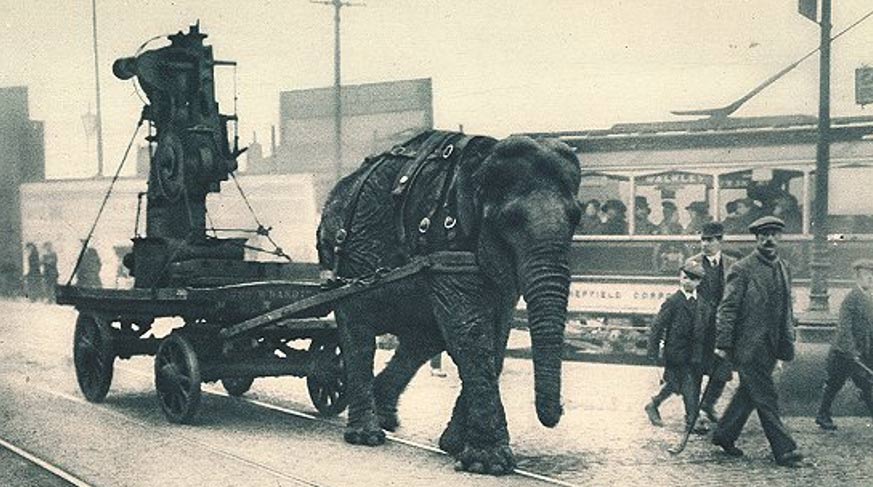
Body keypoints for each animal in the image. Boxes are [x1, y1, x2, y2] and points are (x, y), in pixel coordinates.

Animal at [316, 131, 580, 476]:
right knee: (358, 333)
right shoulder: (447, 243)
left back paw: (386, 417)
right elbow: (470, 332)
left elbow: (496, 336)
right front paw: (489, 463)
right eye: (510, 219)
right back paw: (367, 436)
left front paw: (454, 446)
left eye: (577, 218)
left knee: (423, 339)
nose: (557, 413)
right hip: (344, 265)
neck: (482, 159)